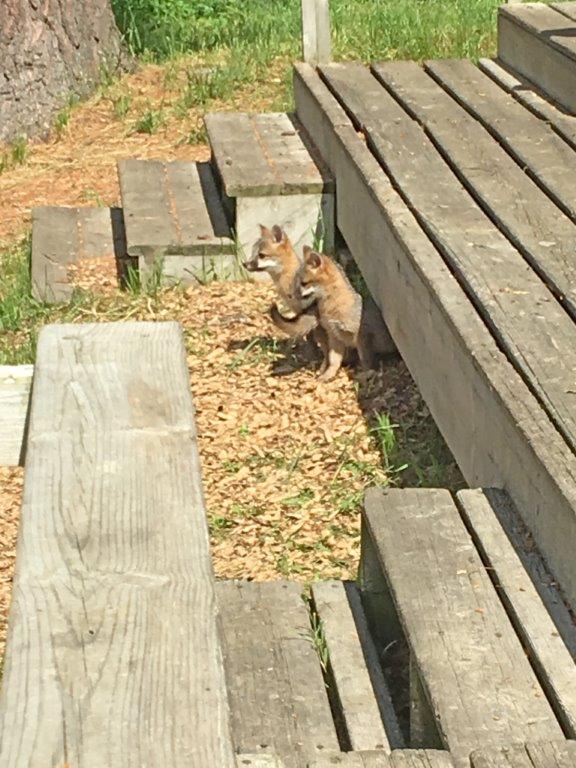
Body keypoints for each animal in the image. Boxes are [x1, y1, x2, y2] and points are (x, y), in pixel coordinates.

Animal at [271, 246, 396, 380]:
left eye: (303, 283)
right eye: (295, 282)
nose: (291, 295)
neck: (334, 308)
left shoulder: (362, 336)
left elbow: (367, 362)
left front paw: (366, 374)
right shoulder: (334, 336)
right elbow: (334, 360)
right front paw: (328, 374)